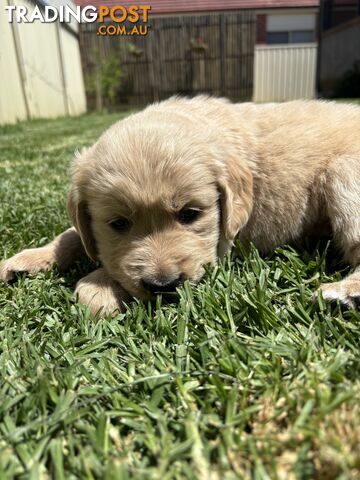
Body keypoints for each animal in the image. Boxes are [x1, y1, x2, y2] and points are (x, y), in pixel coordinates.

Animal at [0, 97, 360, 314]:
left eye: (189, 214)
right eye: (118, 224)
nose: (163, 286)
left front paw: (98, 285)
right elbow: (72, 235)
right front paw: (27, 259)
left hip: (344, 173)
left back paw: (344, 294)